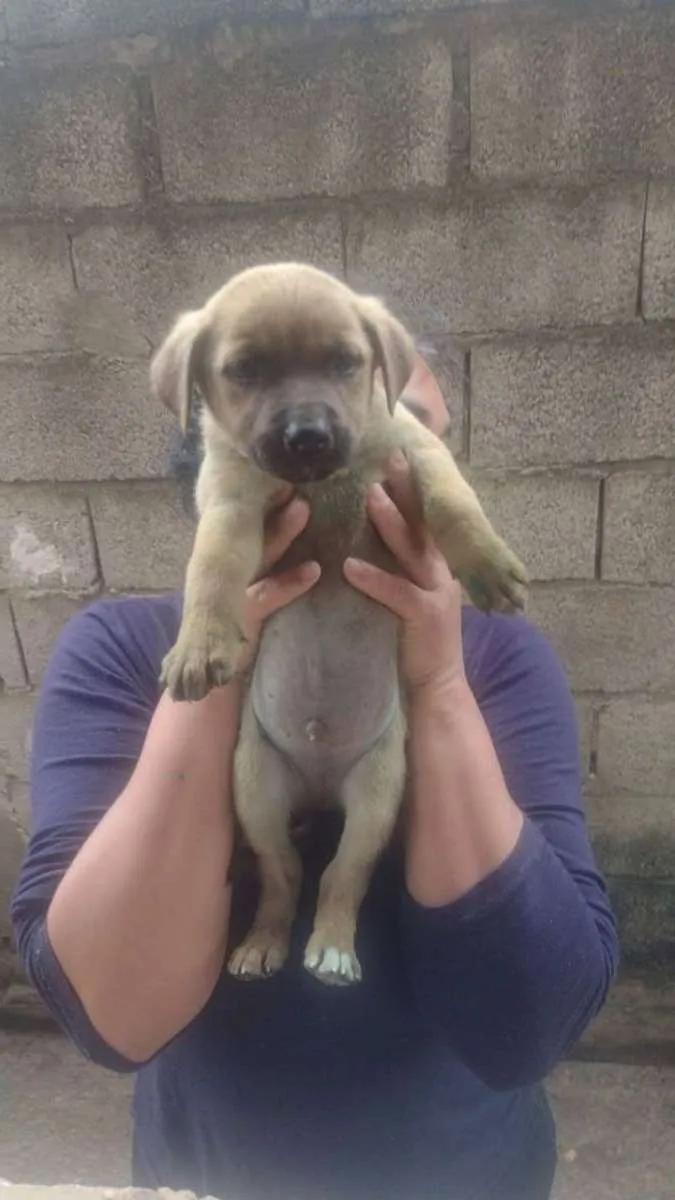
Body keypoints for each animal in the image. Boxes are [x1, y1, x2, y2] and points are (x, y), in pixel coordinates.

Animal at [149, 267, 523, 988]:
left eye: (346, 363)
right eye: (244, 370)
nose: (307, 436)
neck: (321, 484)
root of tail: (321, 790)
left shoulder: (414, 450)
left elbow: (453, 502)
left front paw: (487, 565)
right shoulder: (231, 502)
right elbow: (211, 571)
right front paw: (199, 644)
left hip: (377, 791)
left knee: (343, 874)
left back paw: (332, 949)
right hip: (256, 787)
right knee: (285, 874)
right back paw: (265, 944)